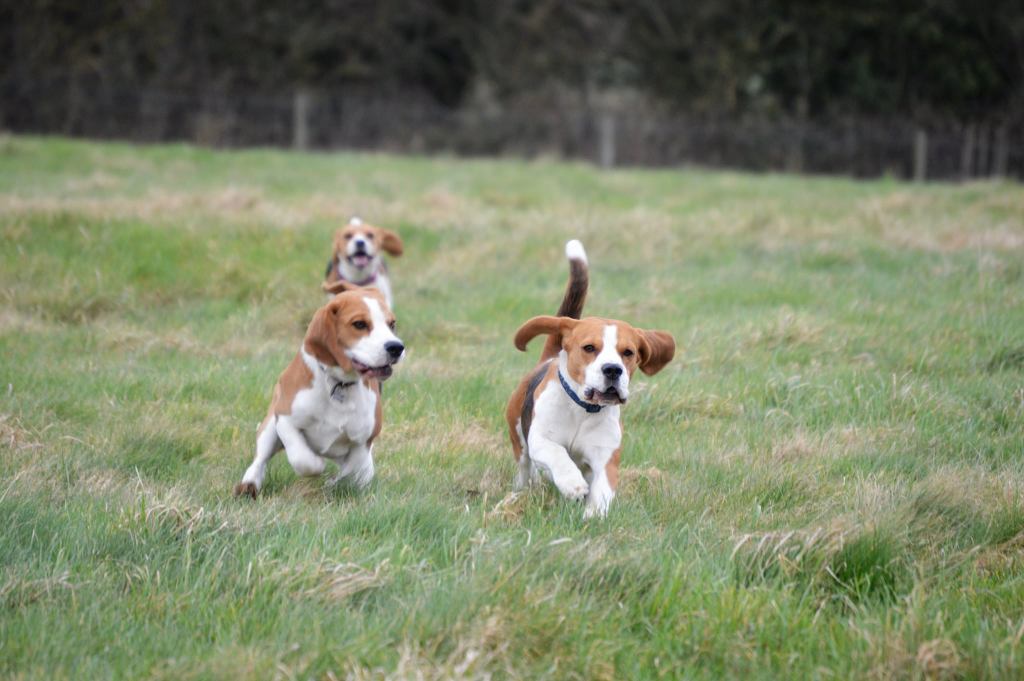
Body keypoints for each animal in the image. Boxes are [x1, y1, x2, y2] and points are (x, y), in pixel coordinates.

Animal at [234, 280, 405, 498]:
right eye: (359, 324)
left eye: (391, 324)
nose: (396, 347)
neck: (339, 384)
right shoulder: (285, 419)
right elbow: (305, 461)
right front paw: (318, 467)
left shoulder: (363, 441)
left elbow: (354, 470)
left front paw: (335, 483)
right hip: (270, 426)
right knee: (260, 458)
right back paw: (249, 484)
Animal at [505, 240, 675, 517]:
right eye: (589, 348)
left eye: (628, 352)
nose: (613, 370)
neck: (583, 410)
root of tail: (548, 358)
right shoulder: (541, 439)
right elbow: (556, 452)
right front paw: (572, 484)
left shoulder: (605, 457)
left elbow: (603, 489)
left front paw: (593, 515)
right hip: (518, 436)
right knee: (525, 467)